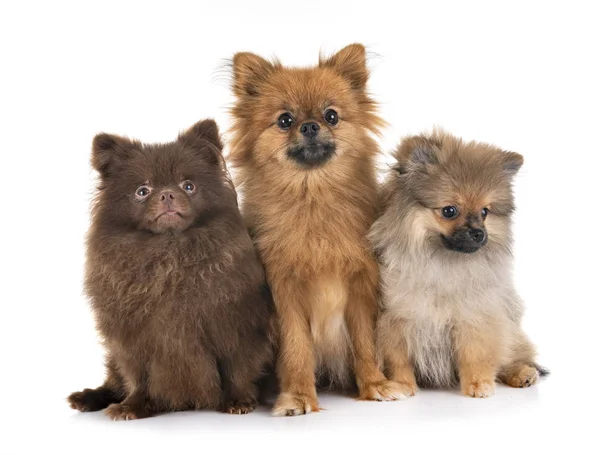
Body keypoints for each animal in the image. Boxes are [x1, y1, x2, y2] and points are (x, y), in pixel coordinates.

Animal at [67, 120, 272, 420]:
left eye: (188, 186)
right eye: (142, 191)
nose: (167, 194)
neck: (170, 256)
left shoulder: (233, 329)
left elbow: (235, 369)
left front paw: (237, 401)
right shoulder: (132, 342)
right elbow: (138, 378)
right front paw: (133, 406)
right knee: (113, 381)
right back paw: (88, 398)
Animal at [229, 43, 404, 416]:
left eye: (331, 116)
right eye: (285, 120)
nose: (310, 126)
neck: (313, 199)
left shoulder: (360, 287)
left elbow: (365, 343)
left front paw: (375, 385)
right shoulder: (285, 292)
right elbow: (297, 348)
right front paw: (297, 396)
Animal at [370, 130, 548, 398]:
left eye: (485, 212)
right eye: (450, 211)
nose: (478, 233)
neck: (442, 263)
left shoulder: (473, 316)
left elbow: (475, 354)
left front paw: (478, 384)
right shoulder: (395, 320)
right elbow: (399, 358)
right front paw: (403, 385)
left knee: (513, 354)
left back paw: (522, 373)